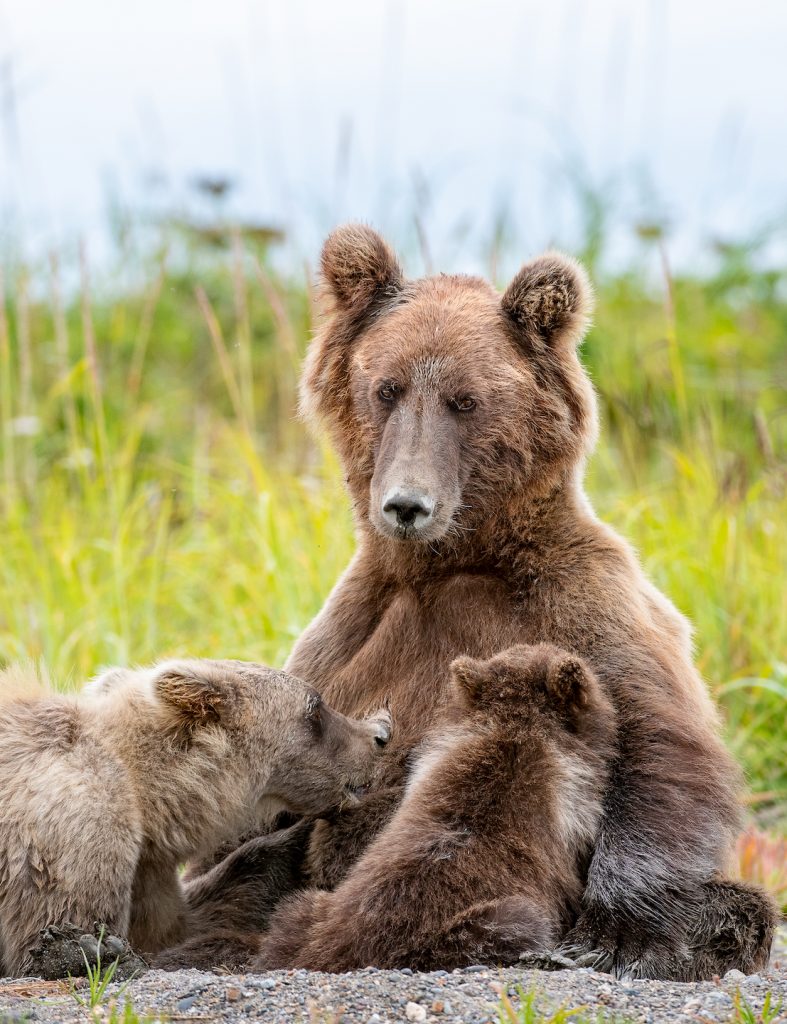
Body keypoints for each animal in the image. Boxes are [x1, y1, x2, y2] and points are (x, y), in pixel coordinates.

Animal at [161, 226, 773, 983]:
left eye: (465, 399)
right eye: (385, 388)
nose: (406, 504)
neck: (449, 562)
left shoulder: (582, 602)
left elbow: (661, 747)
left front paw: (621, 935)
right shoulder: (348, 635)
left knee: (737, 905)